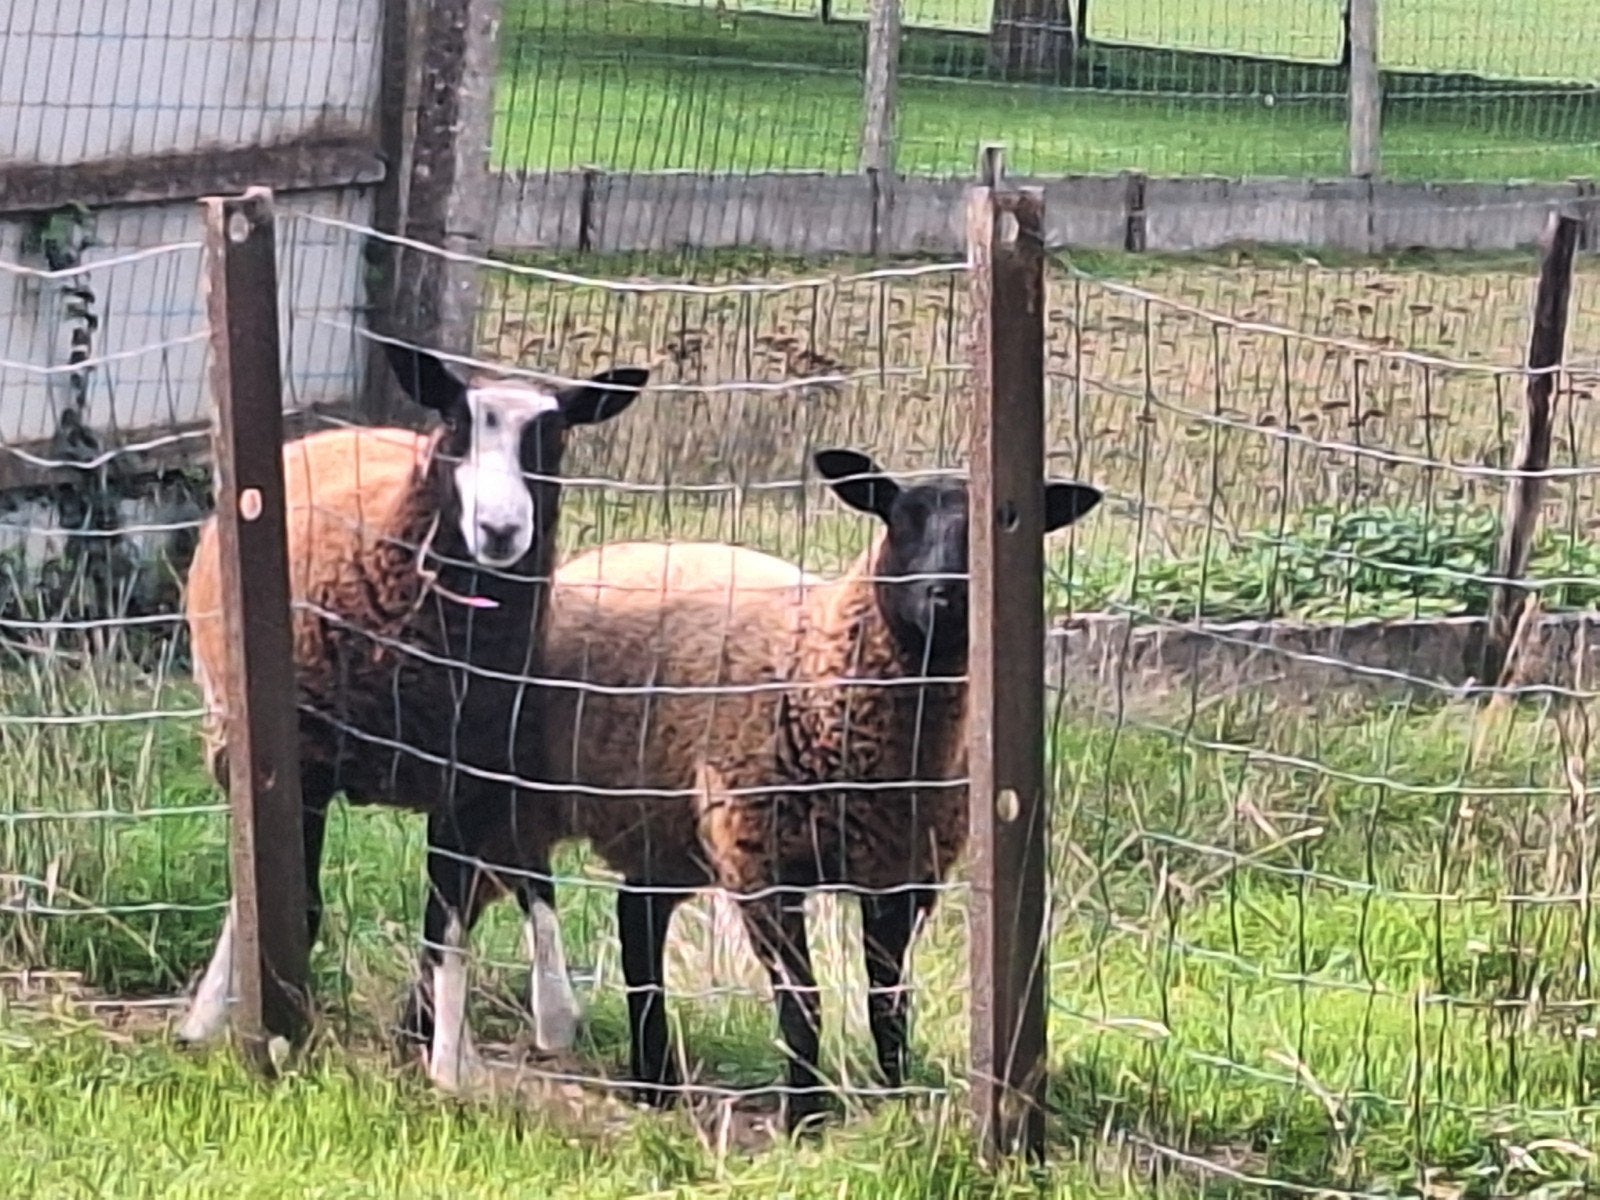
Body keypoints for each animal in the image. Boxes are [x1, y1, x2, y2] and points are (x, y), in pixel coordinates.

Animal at [175, 341, 648, 1091]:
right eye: (457, 425)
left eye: (552, 436)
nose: (501, 530)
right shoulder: (306, 768)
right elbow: (298, 906)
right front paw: (280, 1039)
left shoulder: (467, 774)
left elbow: (446, 928)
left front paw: (447, 1068)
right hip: (238, 735)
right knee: (252, 880)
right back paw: (206, 1015)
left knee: (528, 872)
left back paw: (549, 1015)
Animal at [490, 448, 1100, 1131]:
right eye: (900, 519)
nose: (946, 596)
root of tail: (586, 561)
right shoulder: (764, 864)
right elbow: (803, 1003)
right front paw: (804, 1116)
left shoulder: (900, 877)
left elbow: (888, 1004)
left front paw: (894, 1100)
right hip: (518, 791)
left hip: (669, 827)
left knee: (637, 919)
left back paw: (657, 1085)